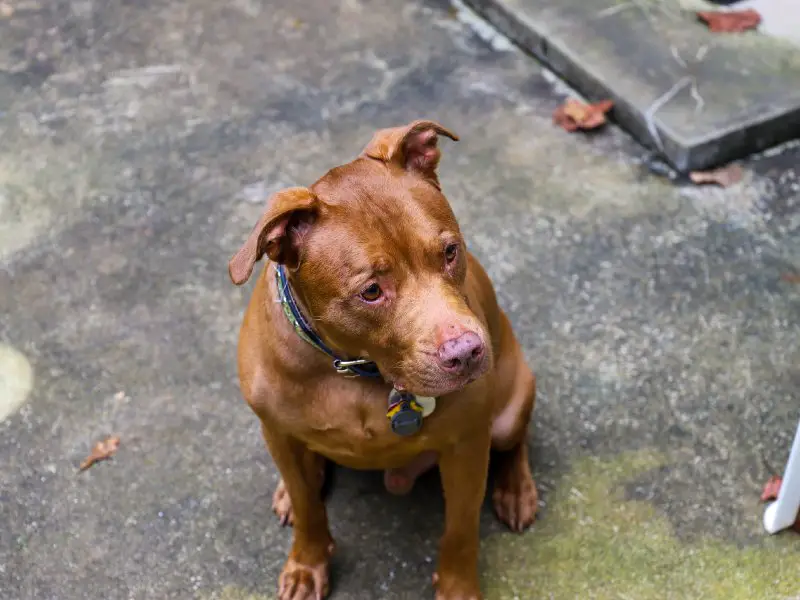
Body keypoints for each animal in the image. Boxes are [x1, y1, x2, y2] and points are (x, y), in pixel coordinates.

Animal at [228, 119, 536, 596]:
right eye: (371, 291)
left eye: (450, 252)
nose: (467, 353)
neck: (354, 367)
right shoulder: (276, 431)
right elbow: (309, 509)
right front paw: (306, 564)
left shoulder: (467, 445)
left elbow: (461, 530)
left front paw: (458, 587)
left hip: (510, 406)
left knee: (514, 443)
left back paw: (516, 490)